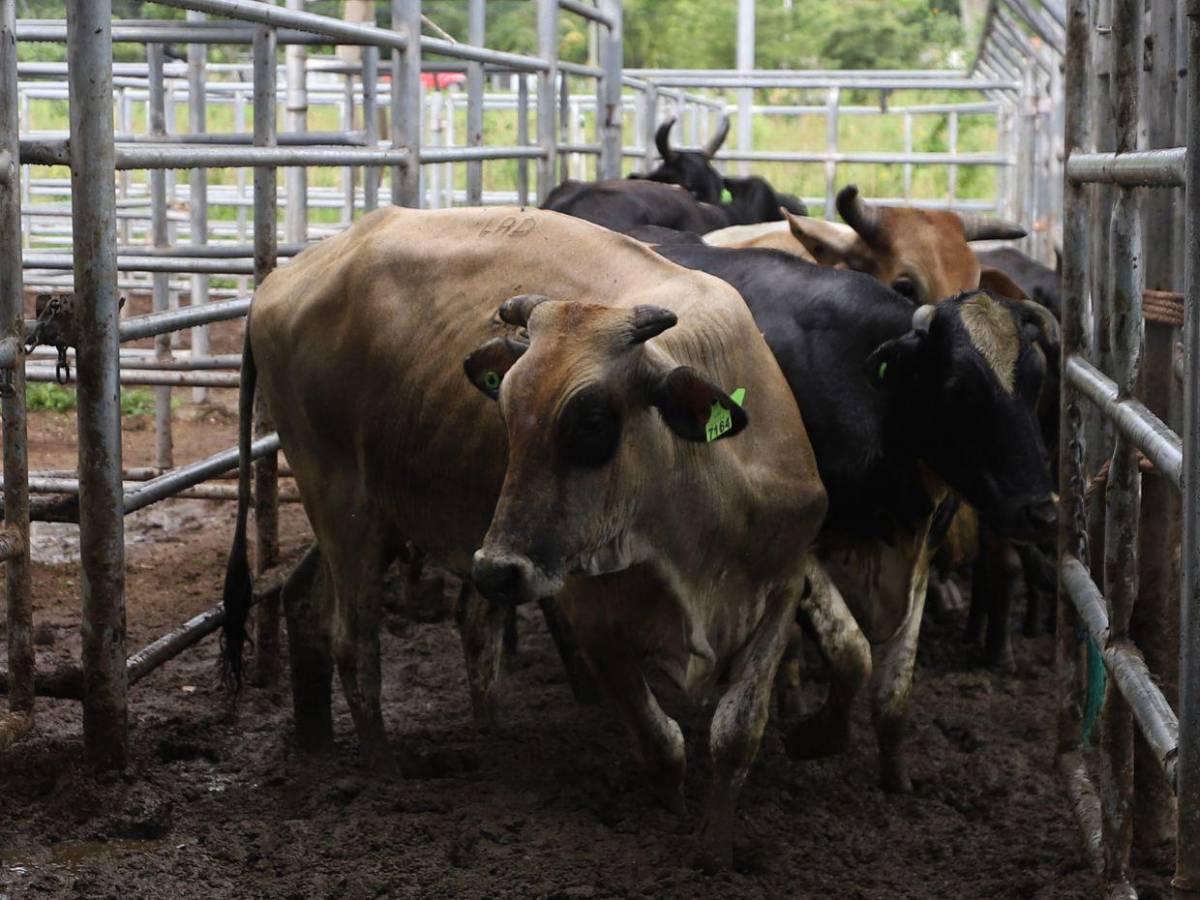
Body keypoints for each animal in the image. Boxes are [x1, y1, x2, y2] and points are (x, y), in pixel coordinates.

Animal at [225, 206, 844, 873]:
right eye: (506, 413)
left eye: (592, 421)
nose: (495, 571)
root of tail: (278, 285)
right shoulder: (592, 616)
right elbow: (662, 742)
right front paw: (673, 814)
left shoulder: (781, 588)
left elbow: (737, 732)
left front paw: (716, 847)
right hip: (344, 506)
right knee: (353, 639)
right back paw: (385, 772)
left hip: (369, 516)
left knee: (305, 600)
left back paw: (320, 740)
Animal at [652, 243, 1056, 792]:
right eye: (957, 389)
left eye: (1036, 382)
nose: (1040, 512)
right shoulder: (800, 549)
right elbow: (851, 652)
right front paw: (818, 735)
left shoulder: (920, 554)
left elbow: (896, 683)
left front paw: (895, 775)